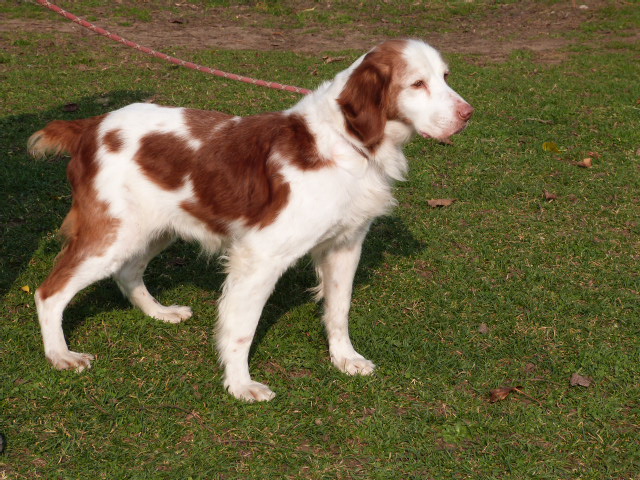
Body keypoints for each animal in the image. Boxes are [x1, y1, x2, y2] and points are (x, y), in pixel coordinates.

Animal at [27, 40, 472, 402]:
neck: (350, 142)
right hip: (113, 234)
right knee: (50, 292)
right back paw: (60, 355)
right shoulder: (261, 256)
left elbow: (339, 309)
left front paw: (345, 358)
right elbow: (242, 327)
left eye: (445, 77)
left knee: (128, 272)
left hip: (151, 229)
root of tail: (90, 126)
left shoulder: (345, 245)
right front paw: (240, 385)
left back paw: (158, 312)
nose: (468, 114)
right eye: (417, 84)